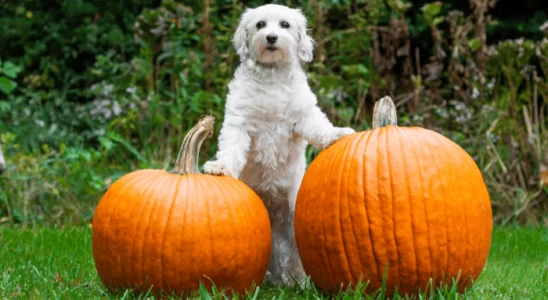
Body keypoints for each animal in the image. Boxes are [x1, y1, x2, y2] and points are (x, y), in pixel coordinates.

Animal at [206, 4, 356, 286]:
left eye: (284, 25)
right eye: (260, 25)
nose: (272, 38)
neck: (271, 76)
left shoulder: (304, 115)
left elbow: (319, 126)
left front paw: (336, 134)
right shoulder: (239, 123)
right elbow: (231, 147)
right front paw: (221, 166)